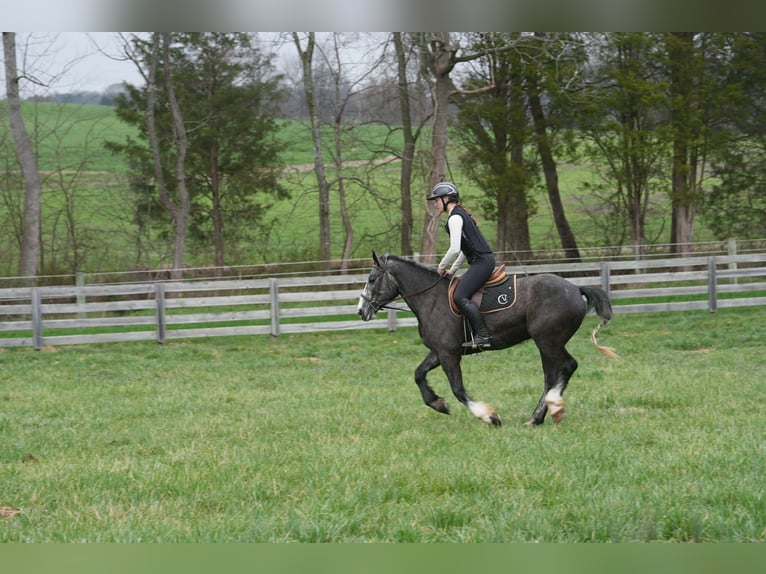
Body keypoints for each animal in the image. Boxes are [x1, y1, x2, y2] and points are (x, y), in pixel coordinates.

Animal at [356, 252, 617, 426]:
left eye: (371, 279)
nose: (361, 311)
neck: (430, 298)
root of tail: (575, 289)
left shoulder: (448, 354)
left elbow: (458, 389)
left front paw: (489, 416)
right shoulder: (440, 352)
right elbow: (419, 374)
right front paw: (438, 404)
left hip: (548, 341)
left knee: (567, 367)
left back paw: (552, 408)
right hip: (546, 344)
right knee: (551, 376)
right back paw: (537, 417)